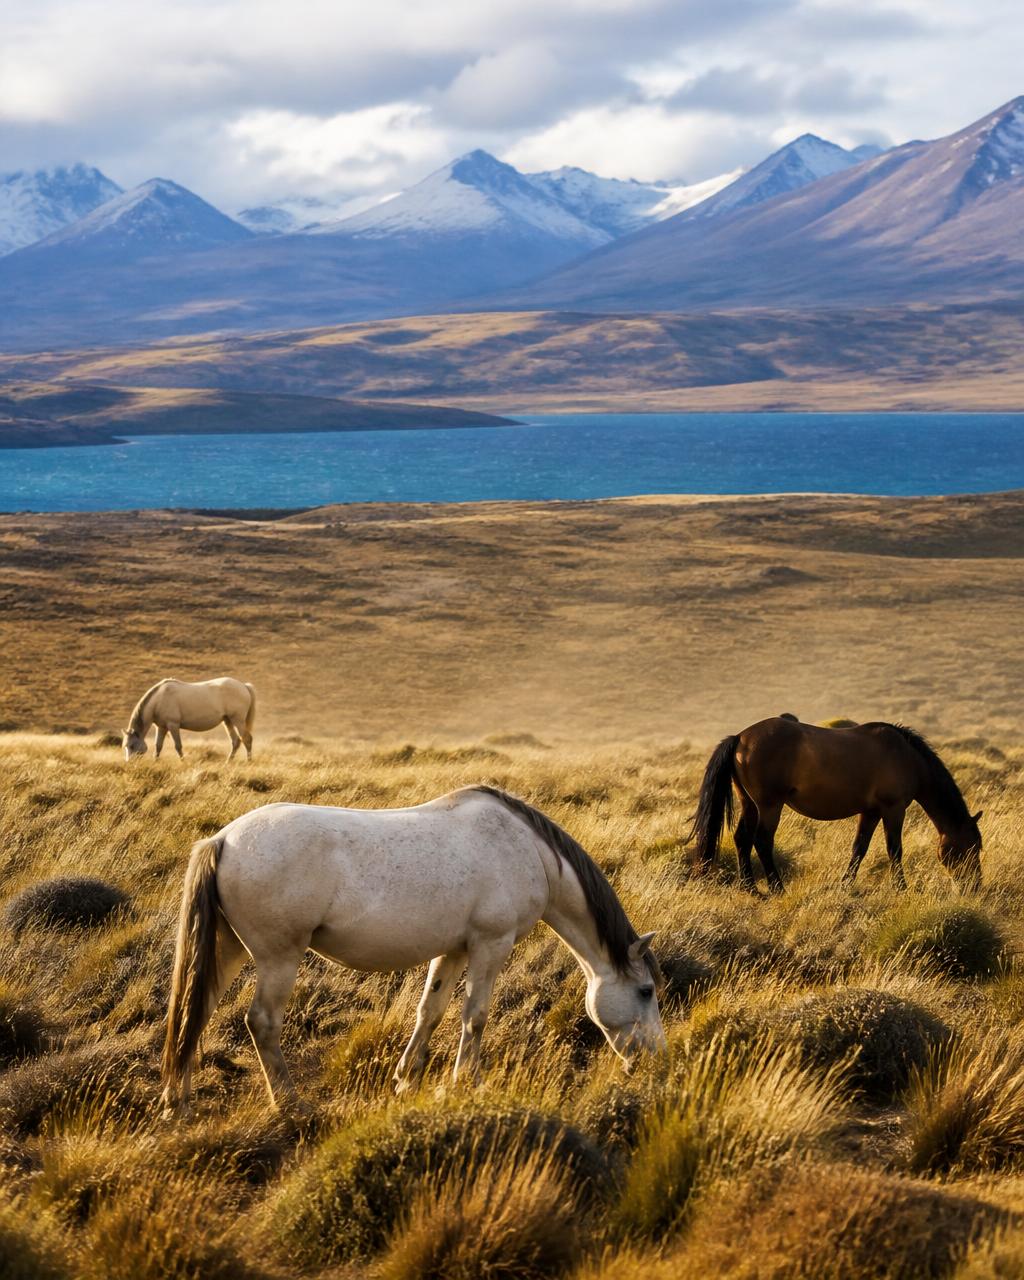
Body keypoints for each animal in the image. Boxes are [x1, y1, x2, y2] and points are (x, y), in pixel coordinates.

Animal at [122, 678, 256, 762]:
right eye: (125, 746)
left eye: (132, 745)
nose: (129, 763)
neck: (159, 699)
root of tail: (244, 686)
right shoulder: (161, 727)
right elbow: (158, 746)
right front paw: (156, 761)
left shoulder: (173, 725)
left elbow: (178, 746)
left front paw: (183, 761)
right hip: (228, 721)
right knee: (235, 741)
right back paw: (228, 762)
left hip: (238, 721)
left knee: (247, 739)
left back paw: (248, 761)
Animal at [160, 785, 666, 1115]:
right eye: (646, 992)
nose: (656, 1059)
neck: (527, 849)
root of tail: (223, 839)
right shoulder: (491, 944)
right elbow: (475, 1016)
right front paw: (465, 1083)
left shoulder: (454, 949)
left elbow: (431, 1011)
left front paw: (406, 1079)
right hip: (278, 959)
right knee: (261, 1022)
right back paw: (289, 1102)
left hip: (227, 950)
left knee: (194, 1012)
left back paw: (176, 1103)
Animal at [689, 717, 982, 893]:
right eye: (972, 848)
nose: (975, 886)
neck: (907, 758)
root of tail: (740, 737)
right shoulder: (894, 809)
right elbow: (895, 850)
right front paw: (901, 888)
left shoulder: (870, 812)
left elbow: (859, 848)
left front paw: (846, 885)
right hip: (769, 806)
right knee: (762, 841)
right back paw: (776, 888)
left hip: (749, 804)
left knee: (742, 838)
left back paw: (751, 888)